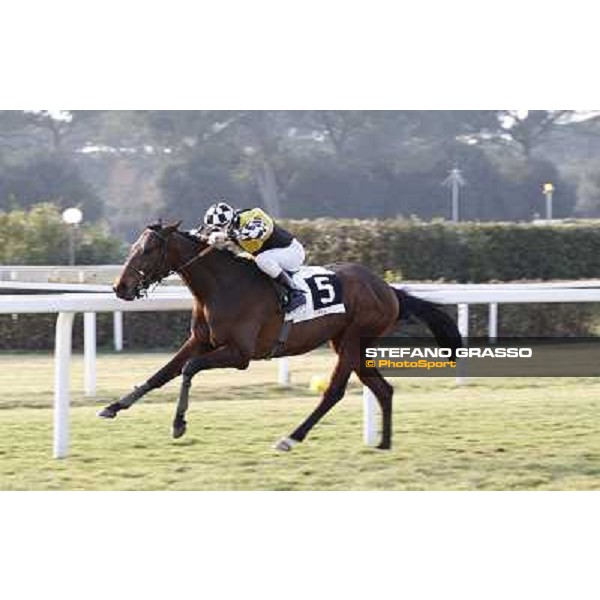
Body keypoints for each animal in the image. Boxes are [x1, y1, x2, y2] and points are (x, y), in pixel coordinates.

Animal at [99, 224, 460, 450]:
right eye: (134, 247)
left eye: (148, 250)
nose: (120, 287)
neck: (222, 286)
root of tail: (388, 289)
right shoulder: (200, 341)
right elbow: (162, 373)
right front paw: (114, 406)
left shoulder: (240, 354)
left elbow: (188, 369)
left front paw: (178, 423)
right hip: (351, 343)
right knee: (383, 389)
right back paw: (383, 443)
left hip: (354, 339)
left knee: (334, 392)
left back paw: (291, 438)